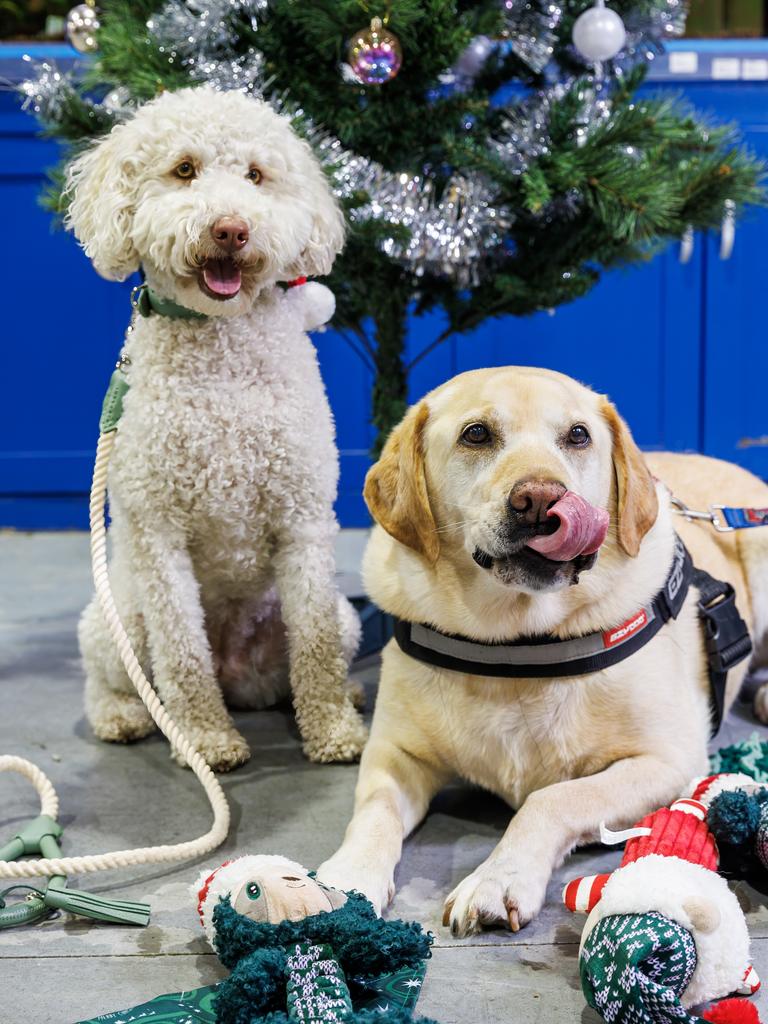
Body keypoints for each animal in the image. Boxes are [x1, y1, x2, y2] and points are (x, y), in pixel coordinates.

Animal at [64, 88, 368, 770]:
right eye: (184, 170)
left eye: (256, 175)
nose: (231, 229)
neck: (222, 356)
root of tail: (237, 676)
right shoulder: (157, 534)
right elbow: (182, 656)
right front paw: (204, 741)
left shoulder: (303, 518)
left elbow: (315, 654)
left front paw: (335, 730)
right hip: (115, 619)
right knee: (113, 678)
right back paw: (125, 716)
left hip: (343, 618)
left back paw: (348, 696)